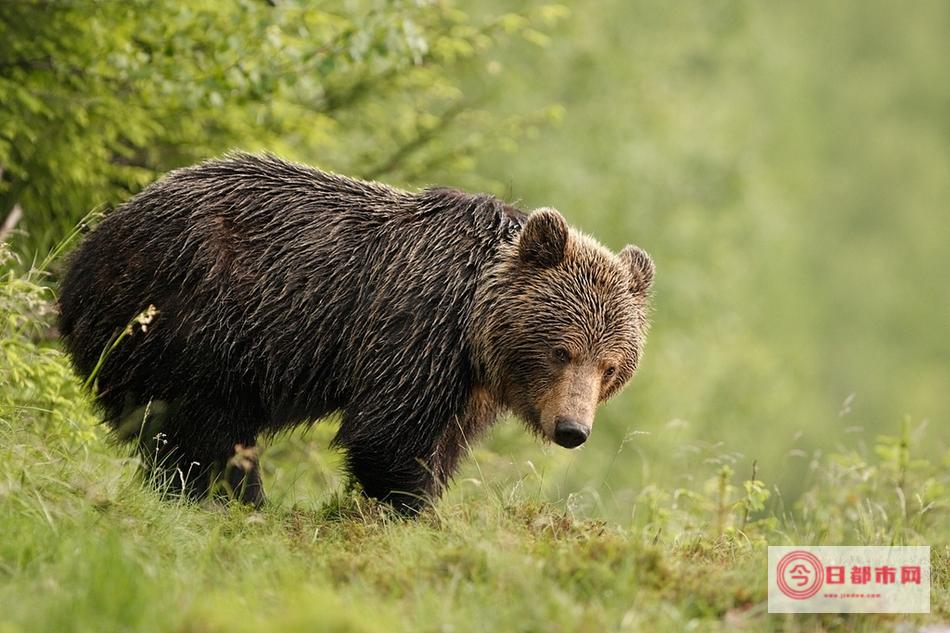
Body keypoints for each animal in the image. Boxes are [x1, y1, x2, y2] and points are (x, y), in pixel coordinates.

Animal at [59, 154, 656, 512]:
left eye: (610, 366)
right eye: (562, 350)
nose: (572, 429)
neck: (475, 329)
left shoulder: (470, 386)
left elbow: (445, 445)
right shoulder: (417, 329)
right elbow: (388, 436)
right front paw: (406, 508)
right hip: (193, 319)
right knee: (201, 425)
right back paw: (236, 499)